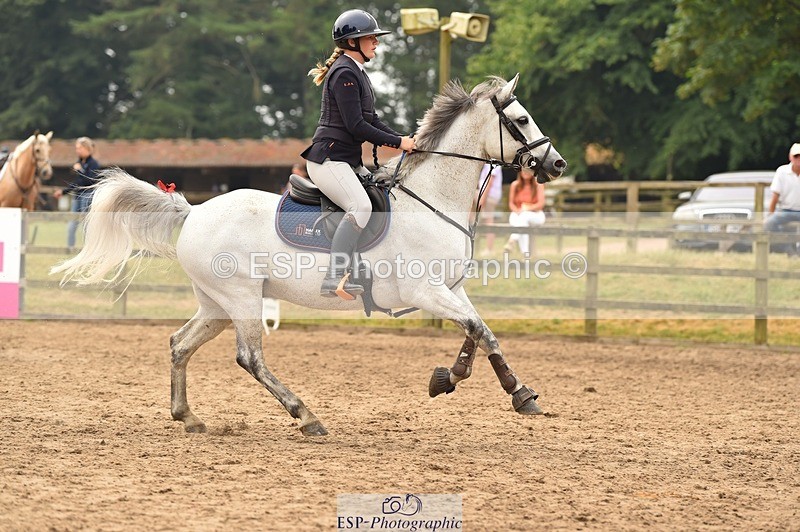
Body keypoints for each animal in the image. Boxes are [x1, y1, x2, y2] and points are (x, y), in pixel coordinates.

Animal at [51, 75, 567, 436]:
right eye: (522, 120)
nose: (557, 163)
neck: (431, 197)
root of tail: (194, 211)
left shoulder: (450, 288)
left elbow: (479, 333)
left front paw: (461, 380)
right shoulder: (425, 290)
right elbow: (479, 330)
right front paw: (509, 392)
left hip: (216, 304)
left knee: (180, 344)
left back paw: (188, 417)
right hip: (241, 298)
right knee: (250, 358)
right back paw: (306, 416)